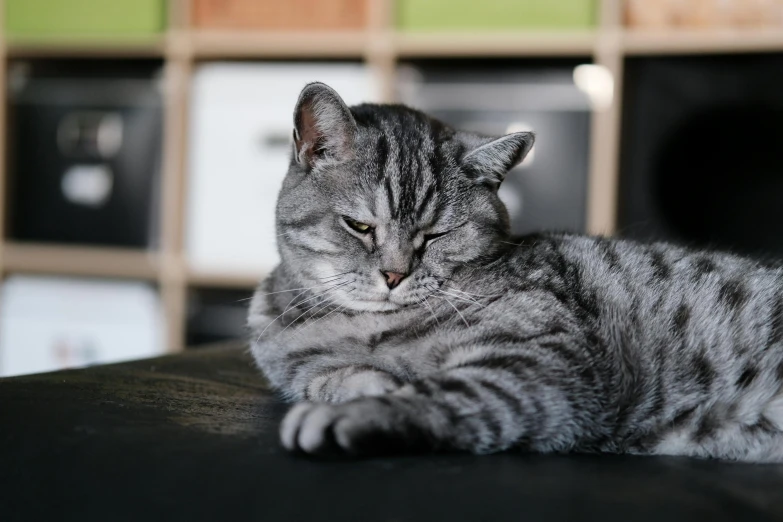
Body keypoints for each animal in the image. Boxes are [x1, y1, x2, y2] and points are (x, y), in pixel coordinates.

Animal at [247, 80, 783, 460]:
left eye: (436, 235)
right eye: (359, 226)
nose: (395, 276)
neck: (364, 329)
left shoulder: (545, 362)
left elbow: (438, 393)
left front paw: (358, 411)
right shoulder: (293, 361)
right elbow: (323, 376)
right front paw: (358, 382)